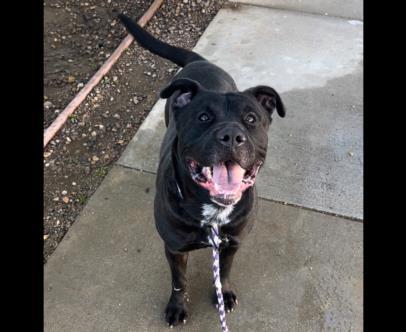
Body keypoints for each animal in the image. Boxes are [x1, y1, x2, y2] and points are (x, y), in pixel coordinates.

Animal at [118, 13, 286, 326]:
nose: (231, 136)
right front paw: (176, 306)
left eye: (251, 119)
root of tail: (200, 60)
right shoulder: (174, 248)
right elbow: (179, 281)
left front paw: (224, 293)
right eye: (203, 117)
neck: (213, 214)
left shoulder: (232, 243)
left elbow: (225, 271)